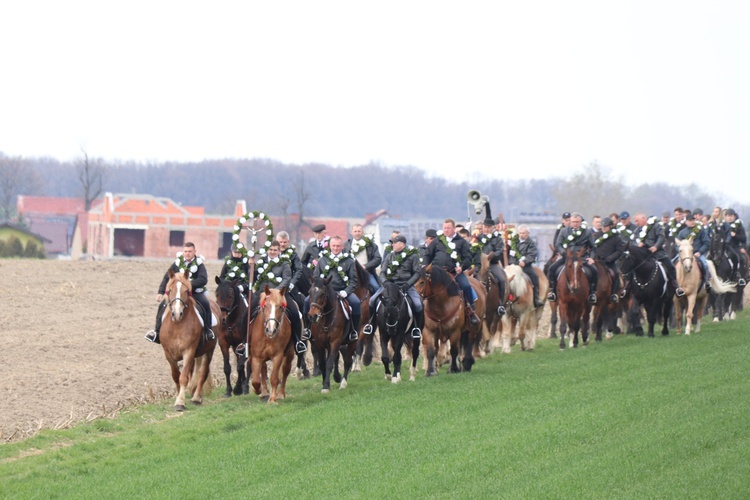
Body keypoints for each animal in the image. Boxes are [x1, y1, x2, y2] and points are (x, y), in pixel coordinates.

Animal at [159, 270, 216, 410]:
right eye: (170, 290)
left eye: (186, 291)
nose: (176, 313)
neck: (177, 325)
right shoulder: (168, 353)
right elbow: (176, 376)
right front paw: (178, 395)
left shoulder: (189, 351)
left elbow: (183, 377)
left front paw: (180, 402)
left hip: (209, 350)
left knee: (202, 373)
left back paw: (196, 398)